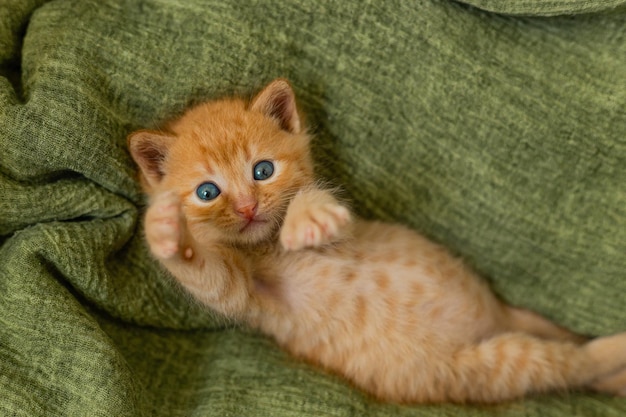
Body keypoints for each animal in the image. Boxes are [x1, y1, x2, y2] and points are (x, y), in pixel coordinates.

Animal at [127, 79, 624, 404]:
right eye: (207, 193)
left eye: (262, 170)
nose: (249, 207)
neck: (265, 247)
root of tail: (495, 318)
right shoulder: (248, 299)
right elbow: (210, 277)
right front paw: (165, 231)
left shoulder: (351, 229)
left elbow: (315, 200)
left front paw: (305, 218)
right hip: (491, 364)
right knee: (571, 364)